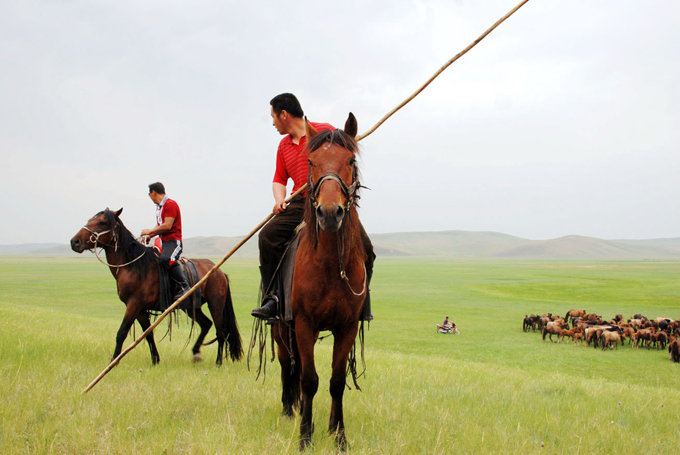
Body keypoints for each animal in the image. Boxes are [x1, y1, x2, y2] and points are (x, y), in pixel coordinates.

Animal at [71, 210, 242, 366]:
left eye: (102, 222)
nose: (75, 242)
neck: (133, 266)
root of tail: (219, 272)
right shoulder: (140, 309)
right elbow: (148, 334)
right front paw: (155, 360)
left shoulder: (134, 304)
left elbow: (122, 332)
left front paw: (113, 361)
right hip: (191, 307)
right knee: (206, 324)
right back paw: (195, 353)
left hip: (215, 304)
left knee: (220, 332)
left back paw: (218, 362)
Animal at [272, 113, 370, 448]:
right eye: (311, 162)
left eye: (351, 160)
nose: (329, 213)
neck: (329, 265)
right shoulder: (304, 324)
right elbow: (309, 380)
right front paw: (305, 436)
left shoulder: (347, 326)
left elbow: (336, 381)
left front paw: (338, 435)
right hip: (281, 329)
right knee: (288, 366)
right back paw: (290, 410)